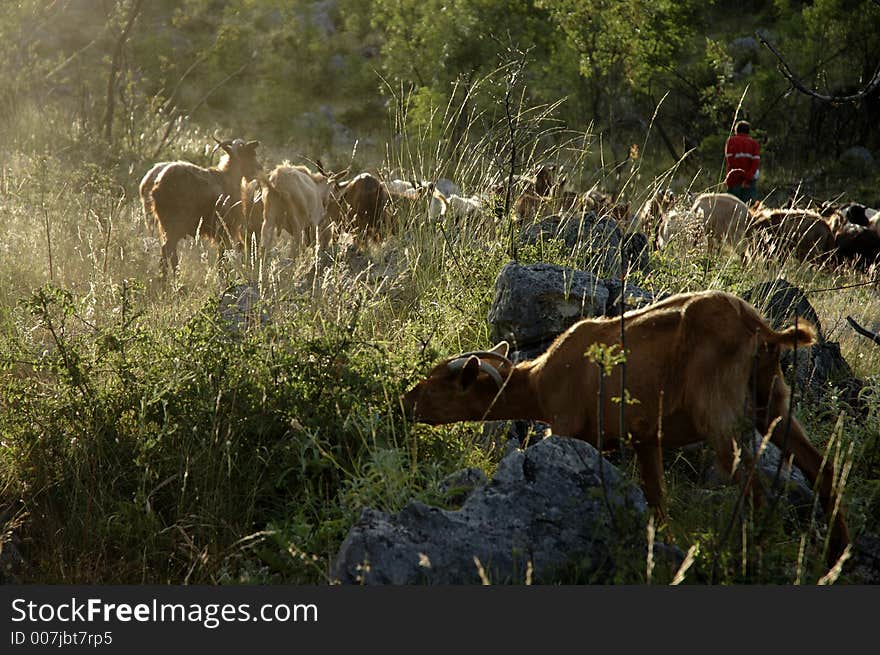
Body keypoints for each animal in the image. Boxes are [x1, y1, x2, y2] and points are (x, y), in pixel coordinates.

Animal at [402, 290, 848, 568]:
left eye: (439, 381)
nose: (406, 400)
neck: (541, 382)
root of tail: (758, 326)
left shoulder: (565, 426)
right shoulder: (646, 439)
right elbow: (657, 501)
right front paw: (664, 548)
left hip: (718, 409)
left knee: (752, 481)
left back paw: (751, 553)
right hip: (772, 402)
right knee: (822, 468)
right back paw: (836, 556)